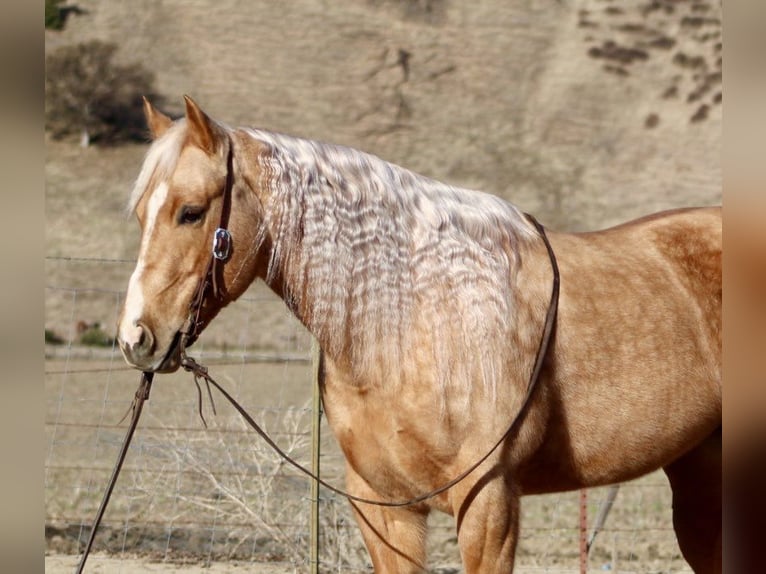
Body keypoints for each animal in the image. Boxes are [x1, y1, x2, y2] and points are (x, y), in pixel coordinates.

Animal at [117, 96, 721, 573]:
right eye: (142, 213)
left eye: (191, 212)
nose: (135, 338)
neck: (418, 318)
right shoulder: (383, 506)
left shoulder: (489, 504)